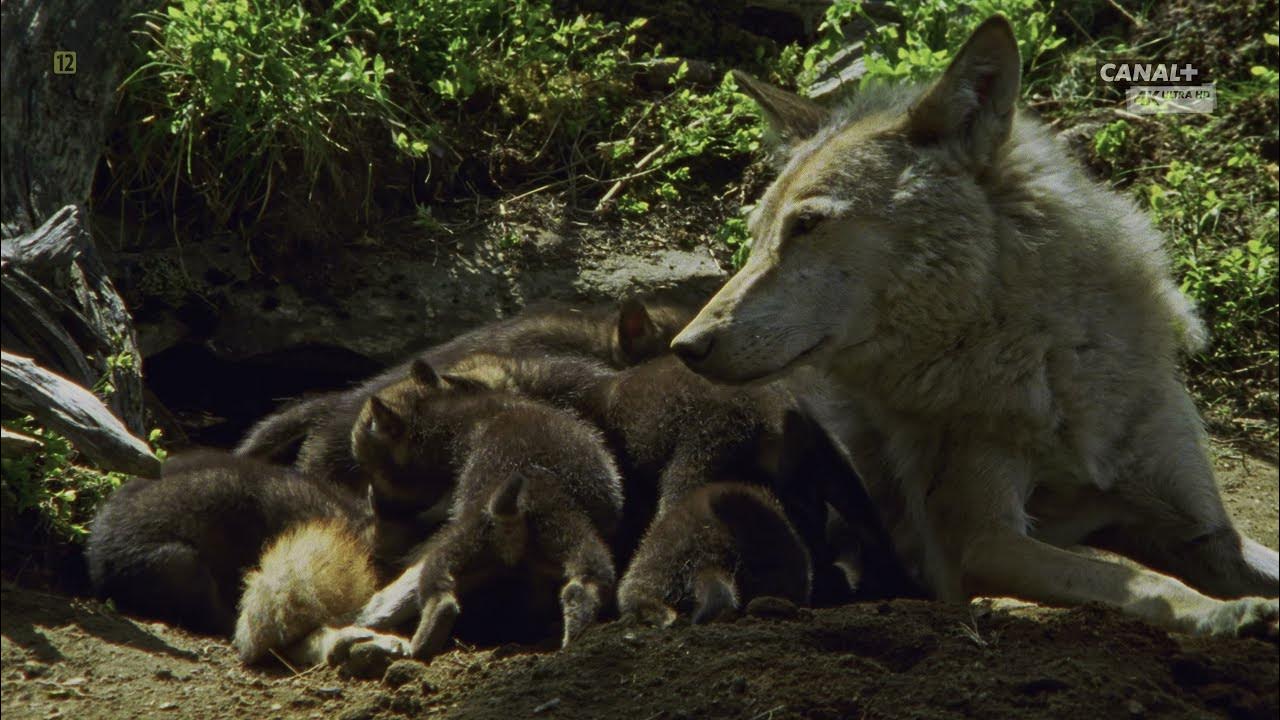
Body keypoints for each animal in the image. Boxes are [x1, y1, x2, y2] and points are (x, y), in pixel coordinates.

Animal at [671, 16, 1278, 637]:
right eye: (756, 236)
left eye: (808, 225)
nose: (687, 345)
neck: (1050, 362)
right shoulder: (984, 542)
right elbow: (1145, 583)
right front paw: (1230, 613)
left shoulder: (1202, 529)